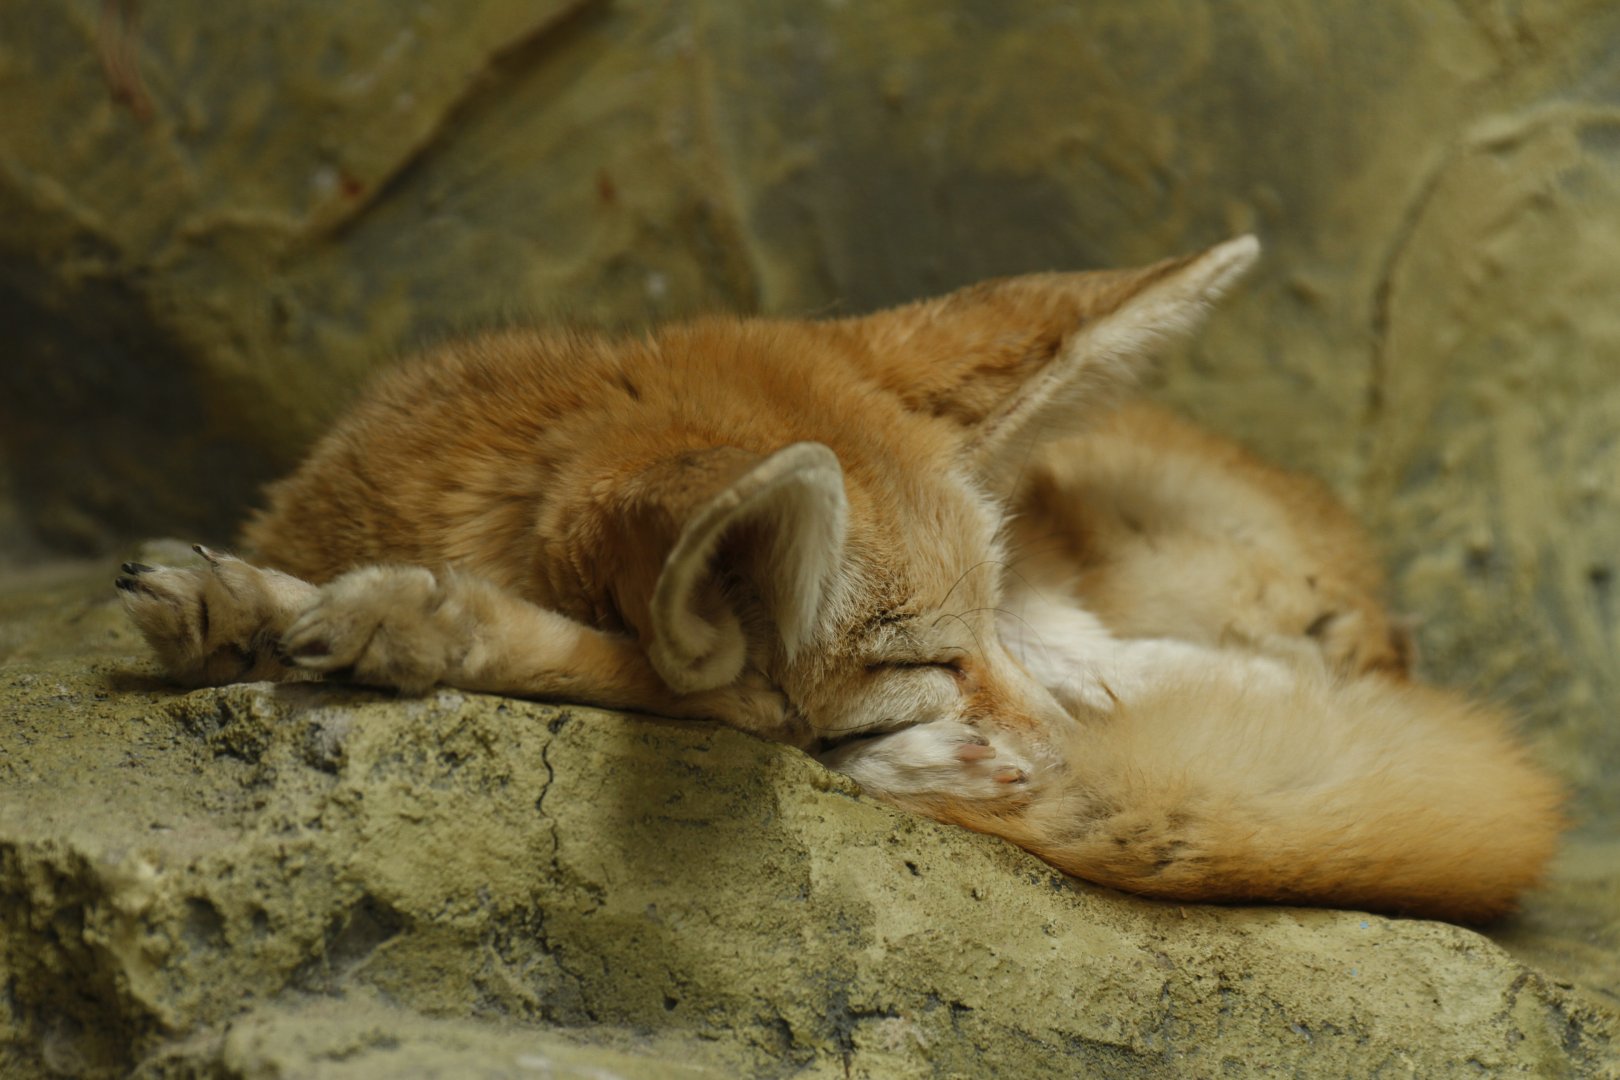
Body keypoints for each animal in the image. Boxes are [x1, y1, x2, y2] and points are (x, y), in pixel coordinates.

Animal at [116, 235, 1563, 923]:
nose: (1073, 752)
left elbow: (648, 674)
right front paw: (243, 607)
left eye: (976, 628)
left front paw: (393, 619)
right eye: (923, 655)